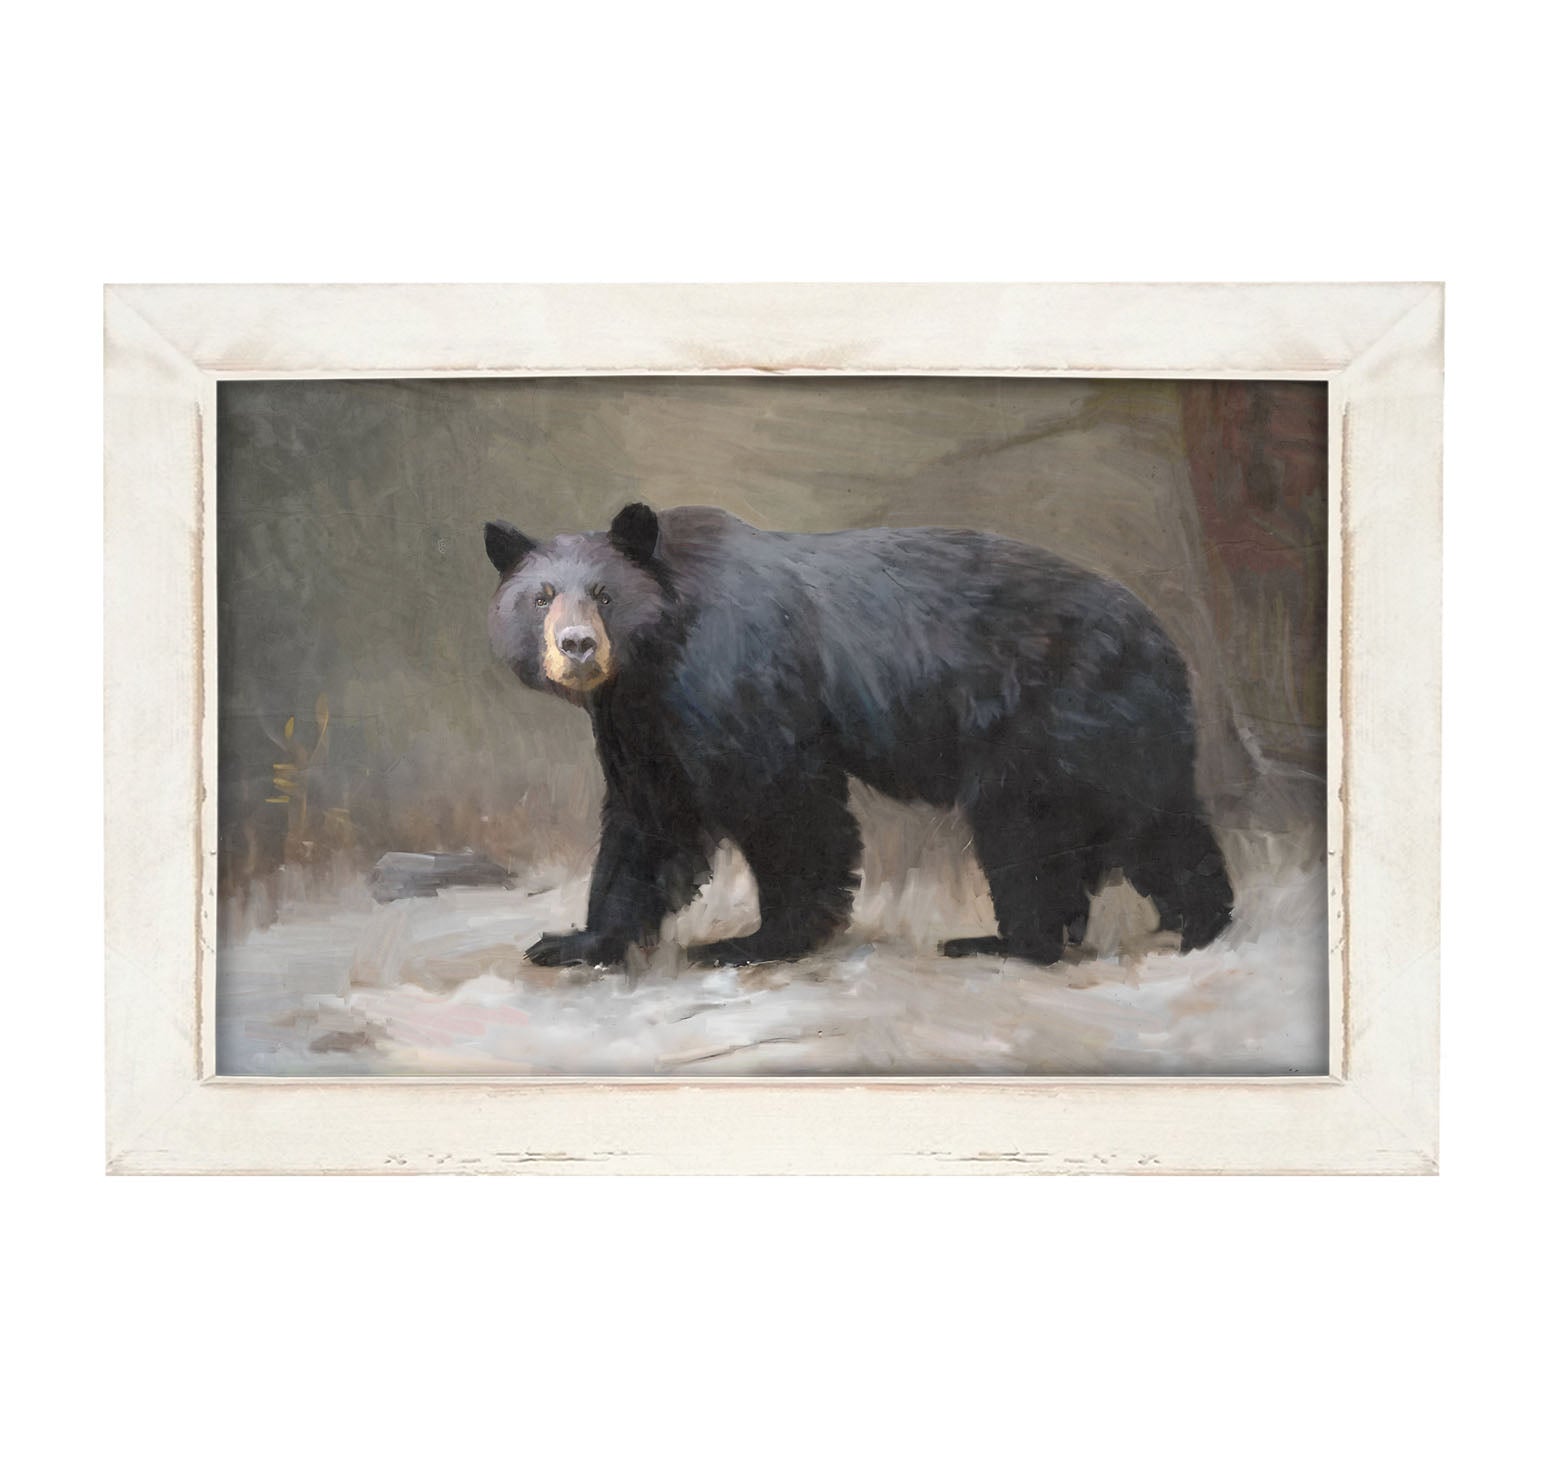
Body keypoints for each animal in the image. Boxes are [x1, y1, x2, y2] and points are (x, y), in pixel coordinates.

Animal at [485, 502, 1233, 969]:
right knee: (1147, 823)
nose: (578, 647)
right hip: (1110, 734)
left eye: (605, 595)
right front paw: (579, 941)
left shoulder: (737, 678)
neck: (660, 648)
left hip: (1056, 720)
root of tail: (1164, 641)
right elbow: (649, 820)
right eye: (542, 596)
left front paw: (754, 940)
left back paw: (1017, 941)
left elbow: (784, 803)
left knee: (1035, 832)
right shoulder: (641, 720)